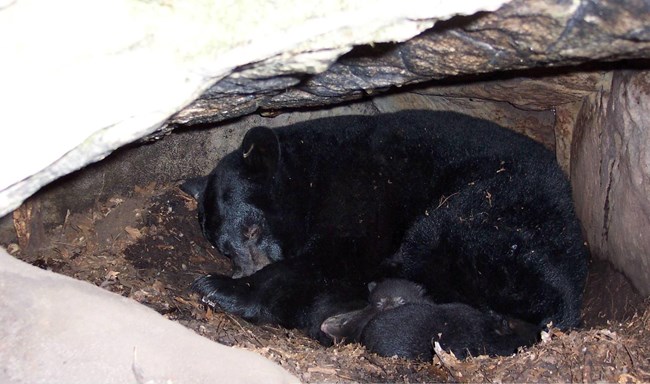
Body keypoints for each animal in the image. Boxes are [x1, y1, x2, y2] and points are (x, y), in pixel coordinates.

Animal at [182, 110, 588, 348]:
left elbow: (334, 254)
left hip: (488, 212)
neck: (309, 177)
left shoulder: (359, 193)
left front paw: (221, 287)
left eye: (251, 230)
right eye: (223, 248)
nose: (243, 269)